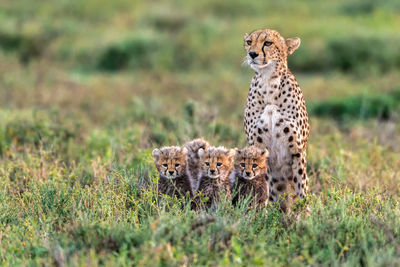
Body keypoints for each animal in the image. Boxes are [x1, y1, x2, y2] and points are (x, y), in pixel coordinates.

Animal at [242, 28, 310, 209]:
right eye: (249, 42)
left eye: (268, 43)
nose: (252, 54)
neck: (268, 82)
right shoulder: (258, 149)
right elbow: (263, 188)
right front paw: (262, 214)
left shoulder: (297, 150)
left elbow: (301, 188)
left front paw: (306, 214)